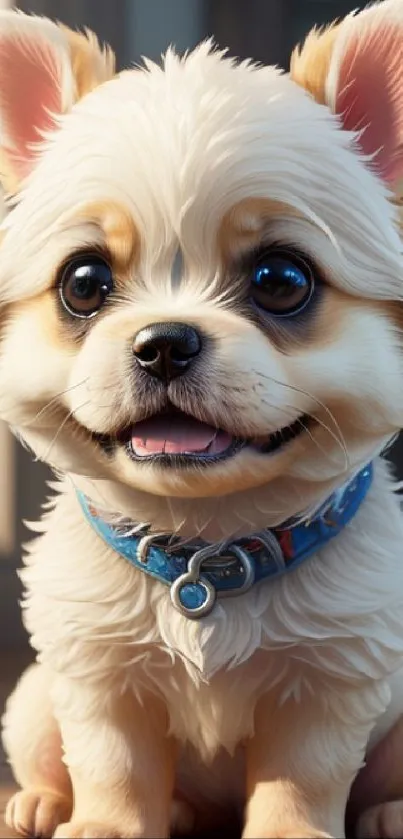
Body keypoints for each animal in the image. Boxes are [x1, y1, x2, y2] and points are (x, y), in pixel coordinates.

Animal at [0, 3, 403, 836]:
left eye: (280, 279)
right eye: (83, 283)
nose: (164, 342)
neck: (209, 548)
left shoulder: (328, 681)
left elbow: (301, 777)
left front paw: (289, 831)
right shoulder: (97, 674)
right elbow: (112, 766)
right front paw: (102, 825)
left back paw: (388, 809)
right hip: (30, 699)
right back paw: (40, 801)